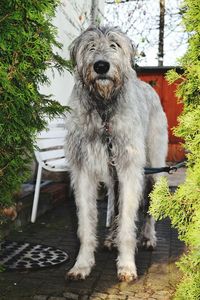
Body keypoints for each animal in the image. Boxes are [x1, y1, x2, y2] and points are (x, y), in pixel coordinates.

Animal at [64, 27, 167, 282]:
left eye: (114, 45)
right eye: (90, 46)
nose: (101, 66)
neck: (104, 110)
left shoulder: (130, 169)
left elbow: (129, 222)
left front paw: (127, 265)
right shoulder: (83, 171)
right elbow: (86, 223)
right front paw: (82, 264)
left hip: (155, 168)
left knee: (149, 206)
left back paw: (148, 237)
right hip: (112, 175)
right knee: (115, 203)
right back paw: (111, 237)